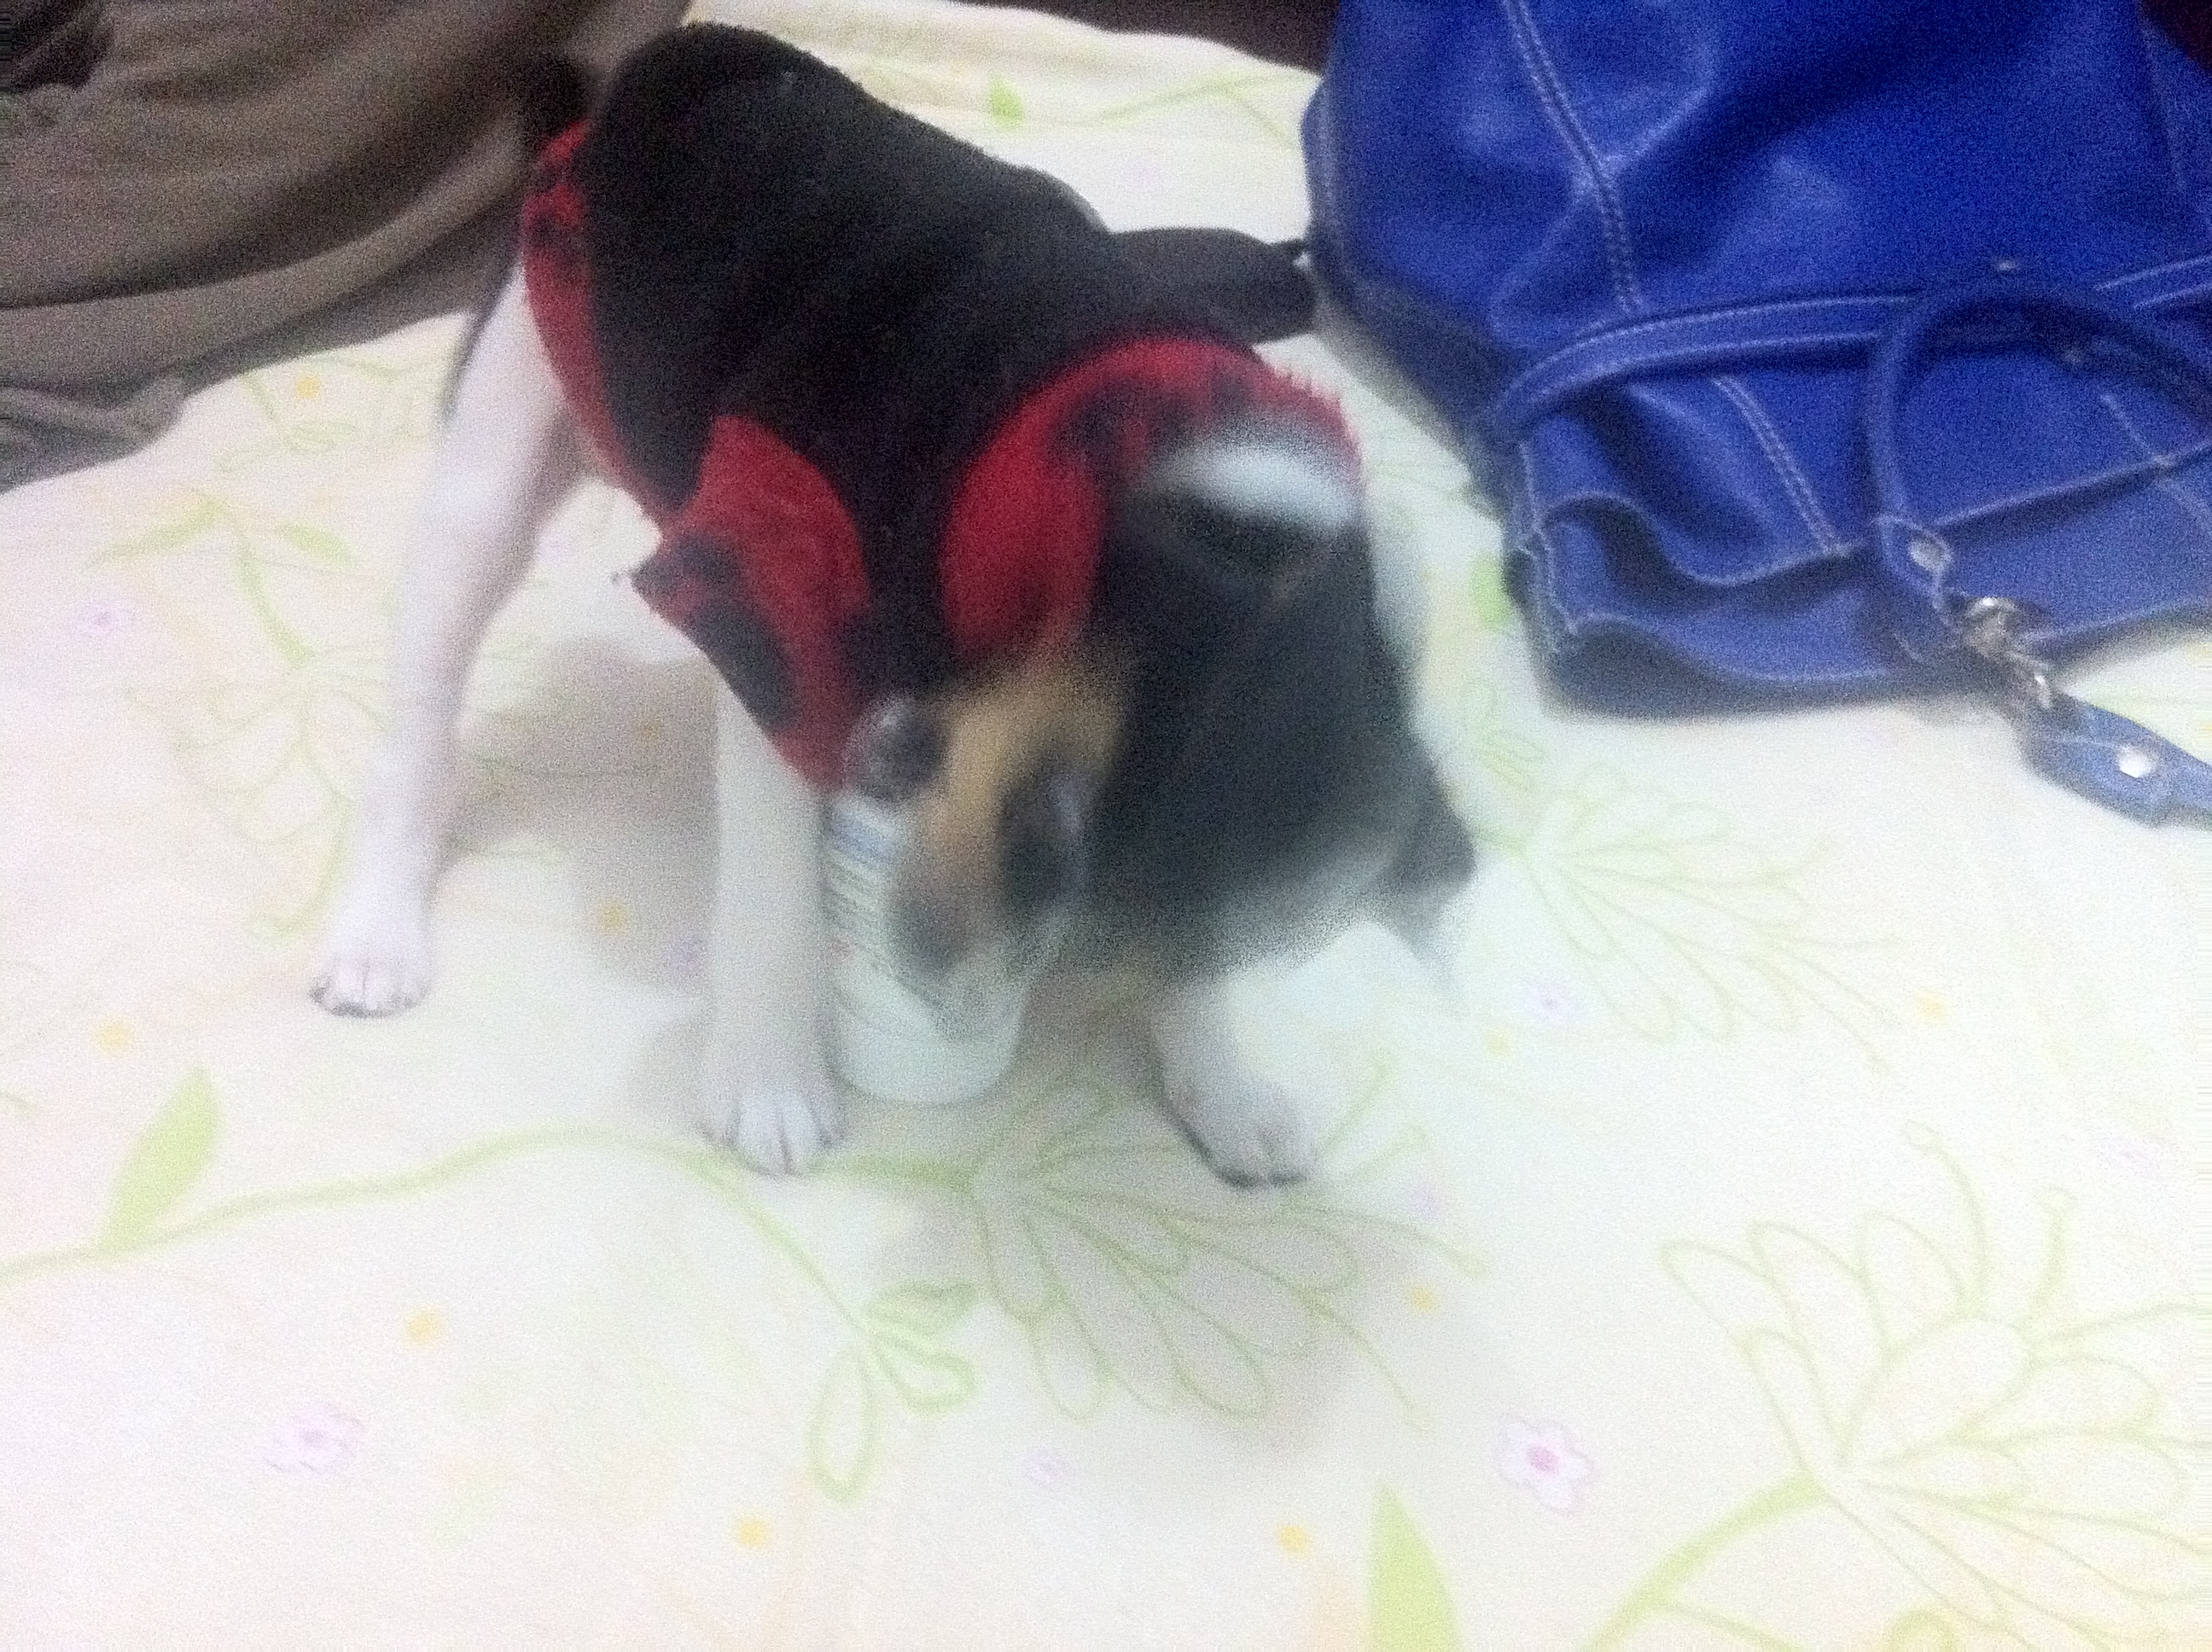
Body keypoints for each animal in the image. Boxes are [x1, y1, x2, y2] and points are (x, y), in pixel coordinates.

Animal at [311, 25, 1473, 1186]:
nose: (949, 988)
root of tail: (586, 117)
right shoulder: (775, 618)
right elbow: (772, 886)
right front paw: (769, 1077)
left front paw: (1220, 1083)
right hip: (492, 472)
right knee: (417, 737)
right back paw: (378, 934)